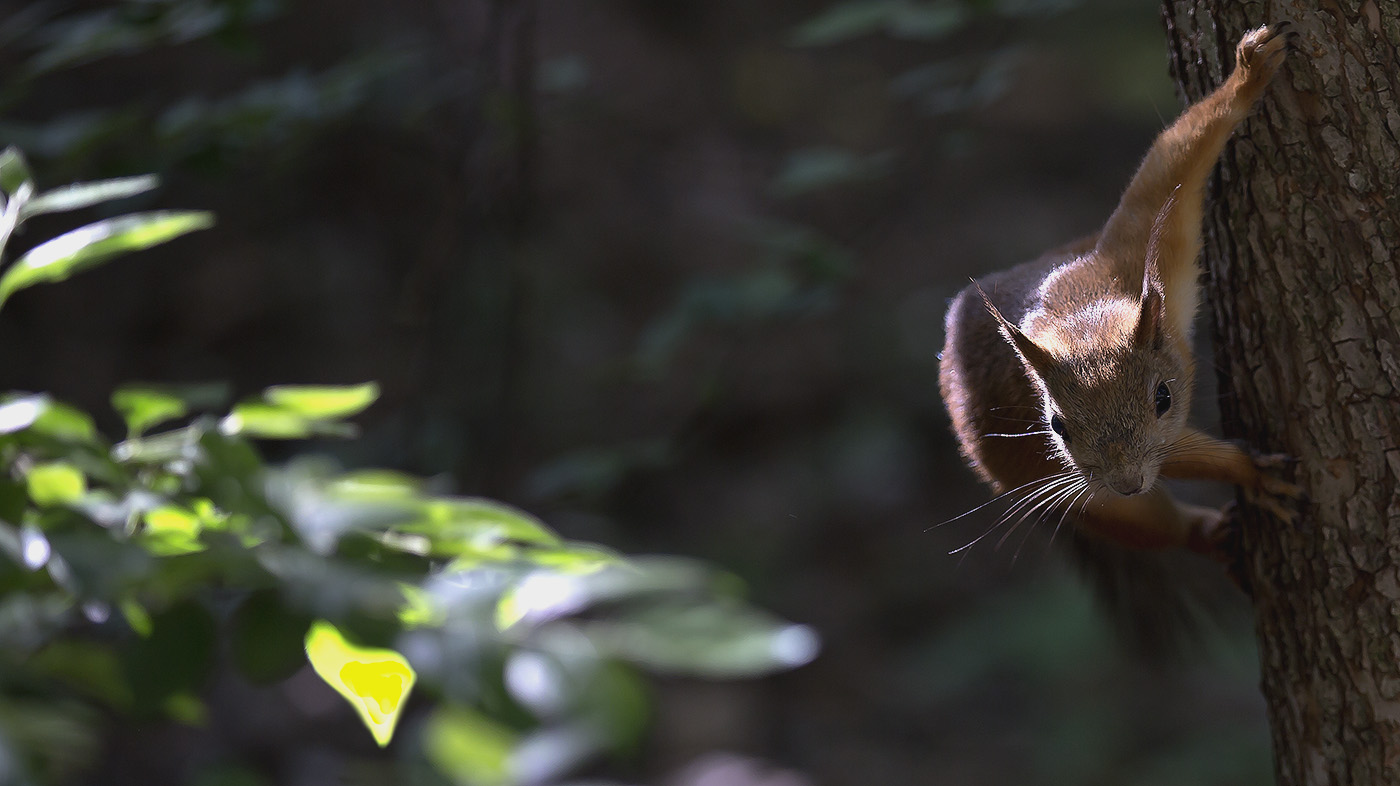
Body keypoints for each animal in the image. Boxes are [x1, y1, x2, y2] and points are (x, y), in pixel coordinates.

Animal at [940, 22, 1299, 563]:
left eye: (1163, 397)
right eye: (1057, 426)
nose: (1127, 484)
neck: (1081, 314)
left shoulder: (1143, 245)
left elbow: (1173, 159)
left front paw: (1248, 73)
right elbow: (1182, 456)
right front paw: (1249, 472)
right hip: (1068, 491)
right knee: (1154, 528)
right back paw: (1206, 532)